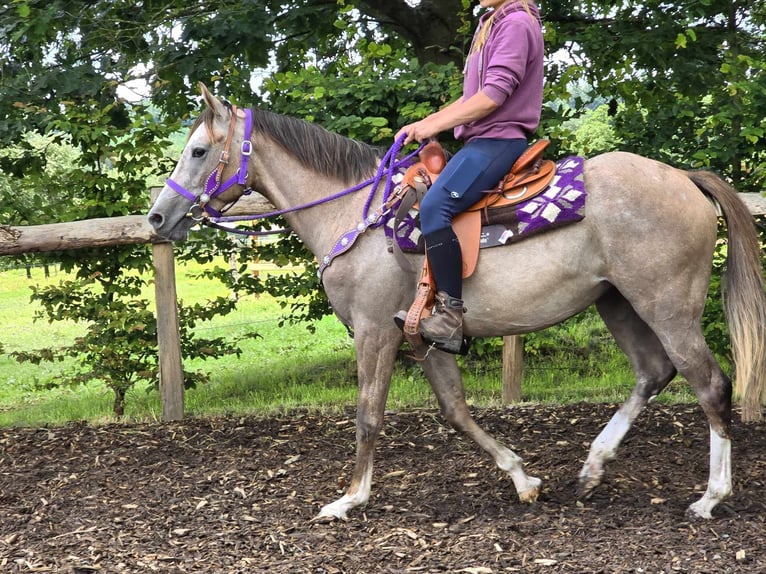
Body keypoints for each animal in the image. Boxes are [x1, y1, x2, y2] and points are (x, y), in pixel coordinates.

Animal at [146, 84, 766, 520]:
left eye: (198, 150)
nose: (156, 217)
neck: (355, 216)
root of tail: (684, 178)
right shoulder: (424, 340)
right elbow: (456, 412)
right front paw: (521, 478)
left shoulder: (375, 330)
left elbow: (368, 415)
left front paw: (349, 499)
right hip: (618, 304)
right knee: (653, 372)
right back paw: (592, 468)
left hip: (667, 307)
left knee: (710, 384)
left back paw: (710, 497)